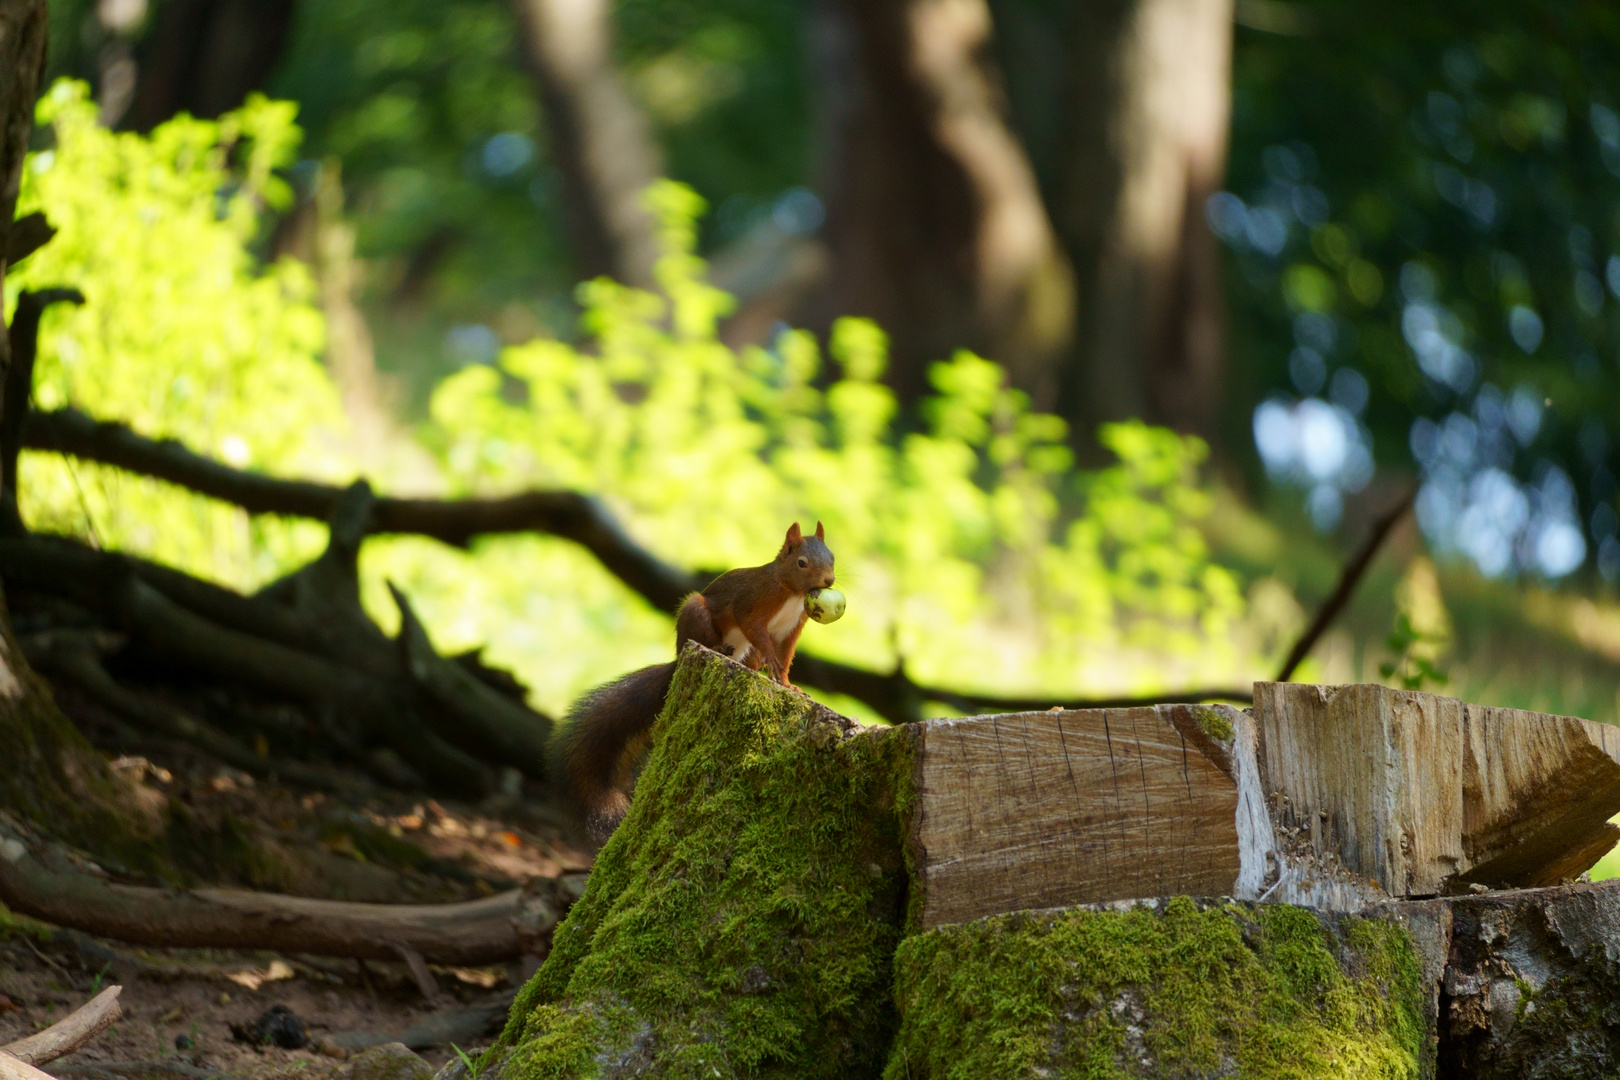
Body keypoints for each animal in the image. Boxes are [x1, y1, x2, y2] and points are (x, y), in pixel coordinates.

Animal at [557, 524, 835, 841]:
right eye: (802, 563)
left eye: (832, 557)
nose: (829, 580)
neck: (791, 593)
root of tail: (679, 657)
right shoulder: (752, 604)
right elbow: (757, 631)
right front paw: (775, 667)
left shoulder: (792, 628)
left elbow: (786, 655)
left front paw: (788, 684)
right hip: (697, 612)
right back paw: (717, 649)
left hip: (745, 652)